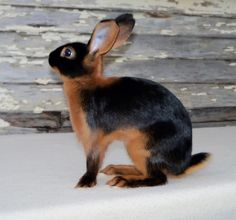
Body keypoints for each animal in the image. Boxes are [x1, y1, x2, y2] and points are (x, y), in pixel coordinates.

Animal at [48, 13, 210, 188]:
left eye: (68, 52)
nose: (49, 57)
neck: (85, 82)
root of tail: (182, 165)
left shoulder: (94, 139)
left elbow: (92, 162)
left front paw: (85, 183)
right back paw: (115, 169)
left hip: (142, 149)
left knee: (157, 177)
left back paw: (122, 180)